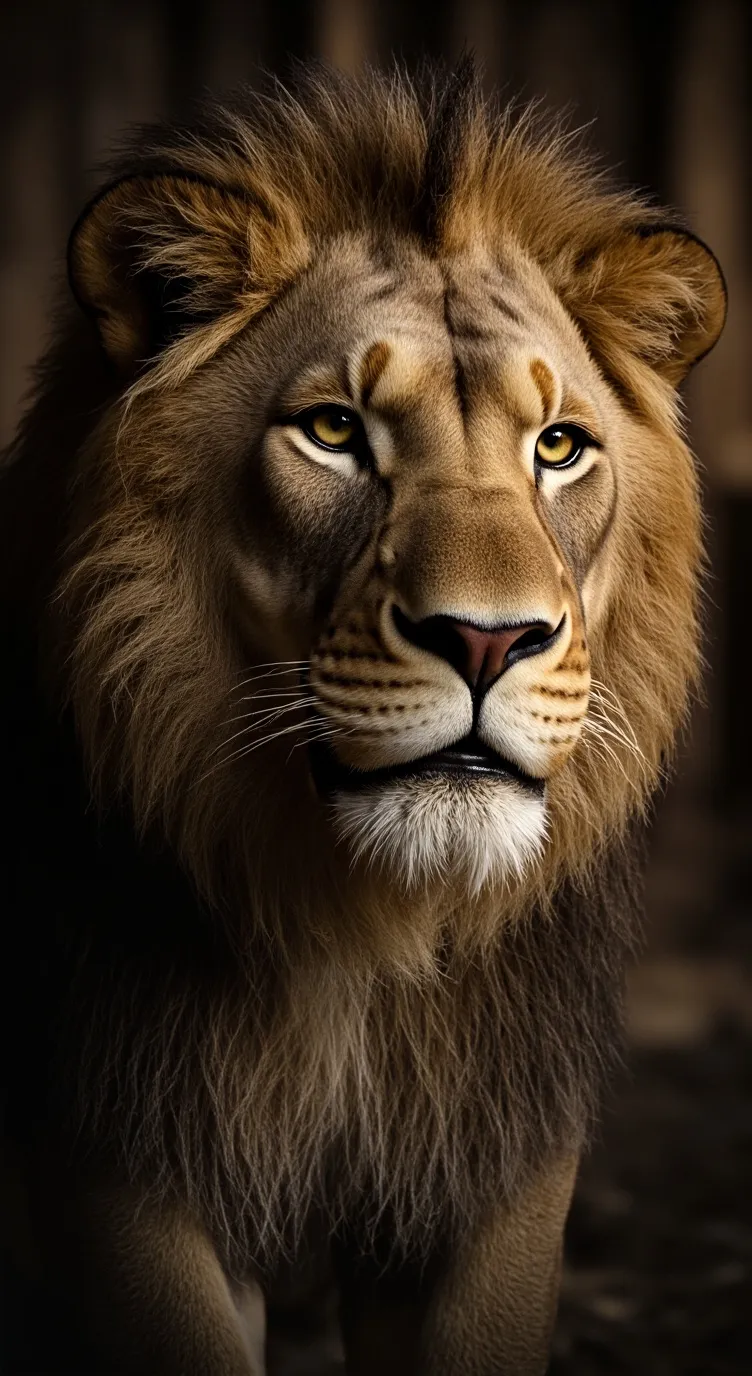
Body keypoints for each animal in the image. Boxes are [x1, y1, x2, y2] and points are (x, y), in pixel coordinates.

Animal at [1, 63, 725, 1375]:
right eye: (334, 430)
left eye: (558, 446)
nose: (488, 639)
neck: (361, 927)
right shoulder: (115, 1152)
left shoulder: (493, 1168)